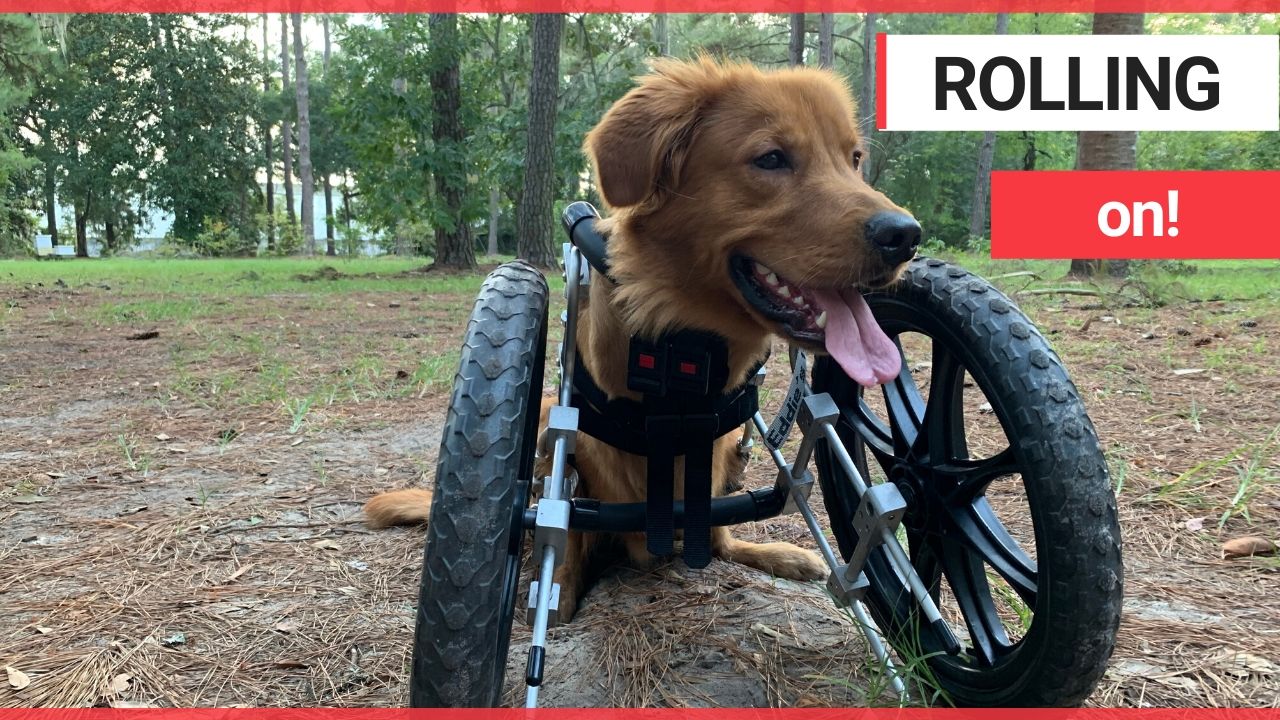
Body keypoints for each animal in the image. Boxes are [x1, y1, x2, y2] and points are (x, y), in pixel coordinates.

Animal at [368, 56, 921, 620]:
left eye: (854, 159)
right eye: (771, 158)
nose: (905, 235)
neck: (690, 346)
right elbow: (559, 527)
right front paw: (555, 592)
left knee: (719, 539)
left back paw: (778, 554)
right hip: (547, 424)